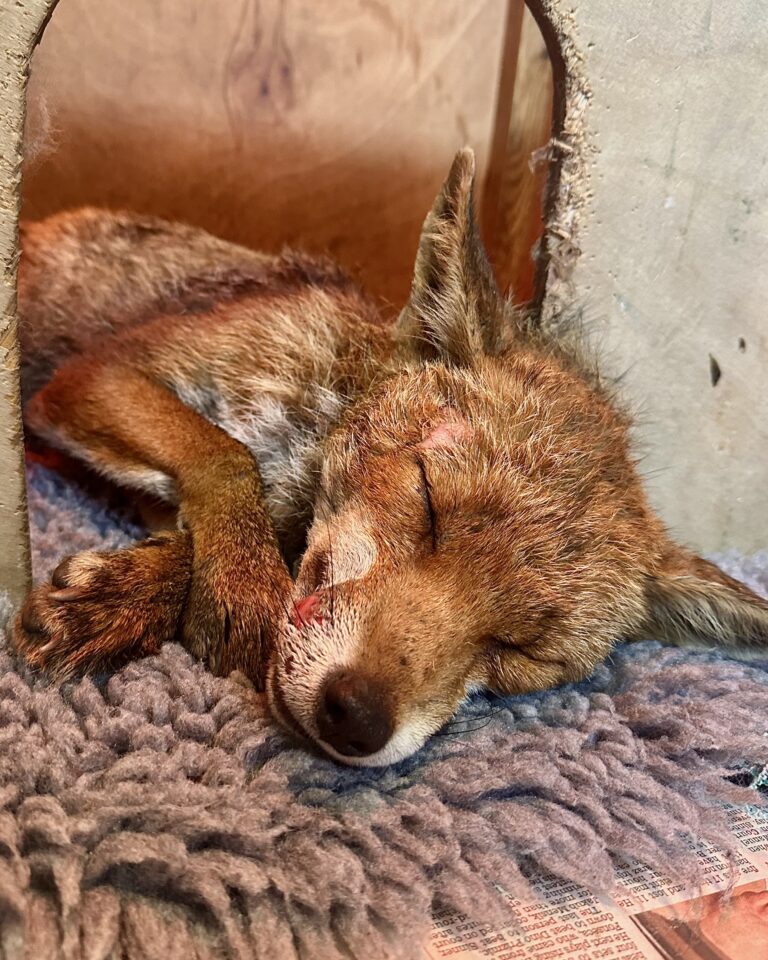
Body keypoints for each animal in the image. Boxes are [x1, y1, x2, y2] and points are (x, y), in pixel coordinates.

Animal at [12, 148, 768, 766]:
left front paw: (134, 593)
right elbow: (226, 456)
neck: (324, 405)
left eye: (521, 651)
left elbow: (207, 528)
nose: (356, 718)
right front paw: (236, 588)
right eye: (428, 501)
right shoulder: (97, 376)